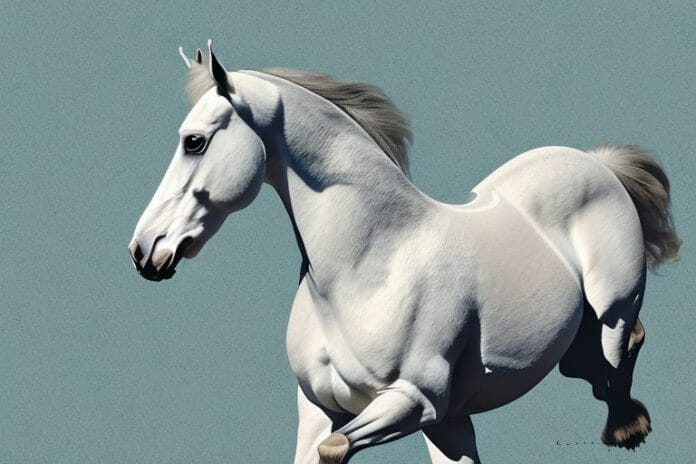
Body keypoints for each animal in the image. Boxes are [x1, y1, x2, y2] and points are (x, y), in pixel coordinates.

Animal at [129, 41, 681, 463]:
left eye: (194, 142)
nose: (144, 249)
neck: (372, 266)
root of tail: (598, 165)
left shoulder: (414, 402)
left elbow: (335, 448)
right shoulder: (327, 407)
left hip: (609, 311)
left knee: (623, 345)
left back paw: (626, 427)